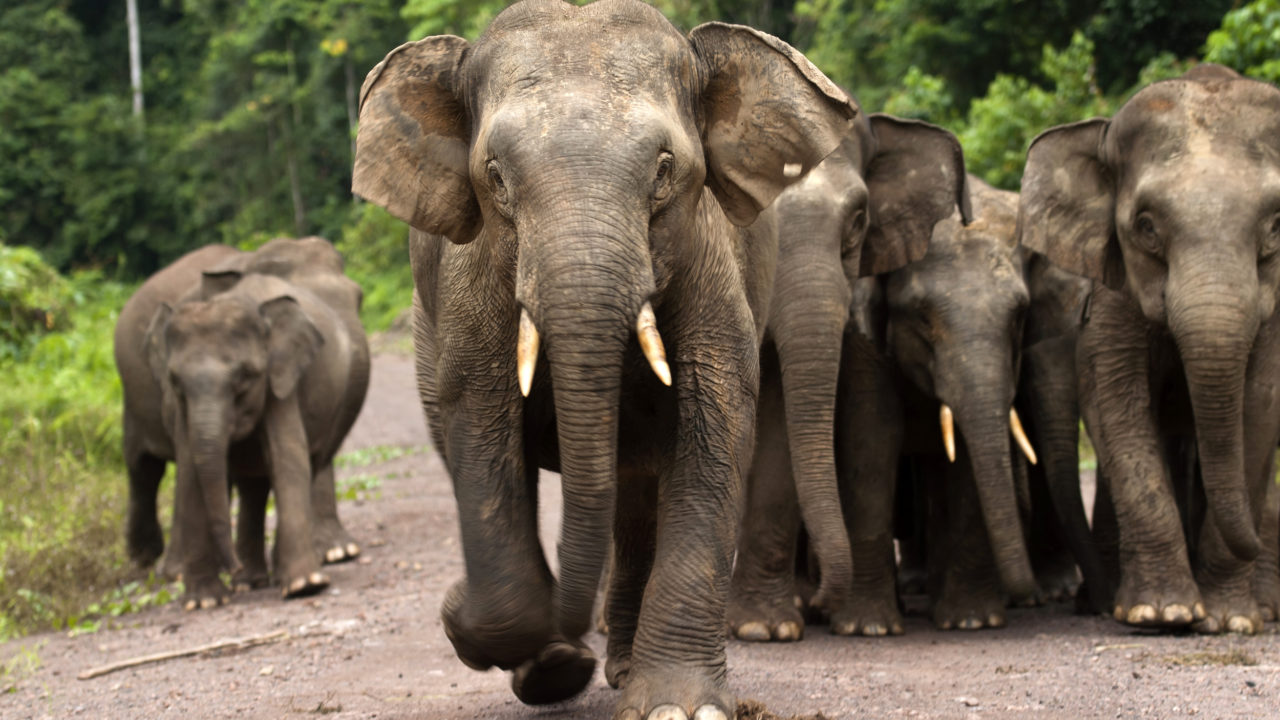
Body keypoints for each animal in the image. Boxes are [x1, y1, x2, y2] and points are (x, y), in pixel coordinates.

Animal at [113, 239, 371, 604]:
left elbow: (288, 456)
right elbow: (191, 469)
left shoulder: (283, 378)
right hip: (133, 395)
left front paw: (308, 580)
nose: (230, 566)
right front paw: (205, 600)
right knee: (143, 468)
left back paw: (250, 578)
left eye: (359, 298)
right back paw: (157, 565)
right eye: (175, 380)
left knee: (256, 482)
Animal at [348, 2, 860, 712]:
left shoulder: (711, 263)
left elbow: (715, 427)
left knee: (635, 492)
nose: (570, 628)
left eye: (665, 170)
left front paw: (679, 707)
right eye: (496, 177)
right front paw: (510, 641)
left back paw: (615, 668)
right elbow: (478, 429)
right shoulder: (468, 287)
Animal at [839, 176, 1039, 630]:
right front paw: (869, 628)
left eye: (1020, 314)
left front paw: (972, 622)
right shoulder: (862, 333)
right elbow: (873, 435)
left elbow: (966, 454)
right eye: (922, 314)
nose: (1026, 594)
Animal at [1018, 64, 1280, 630]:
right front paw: (1162, 613)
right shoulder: (1113, 298)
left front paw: (1229, 621)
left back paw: (1266, 606)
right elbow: (1116, 403)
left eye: (1276, 228)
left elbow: (1261, 406)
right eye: (1145, 227)